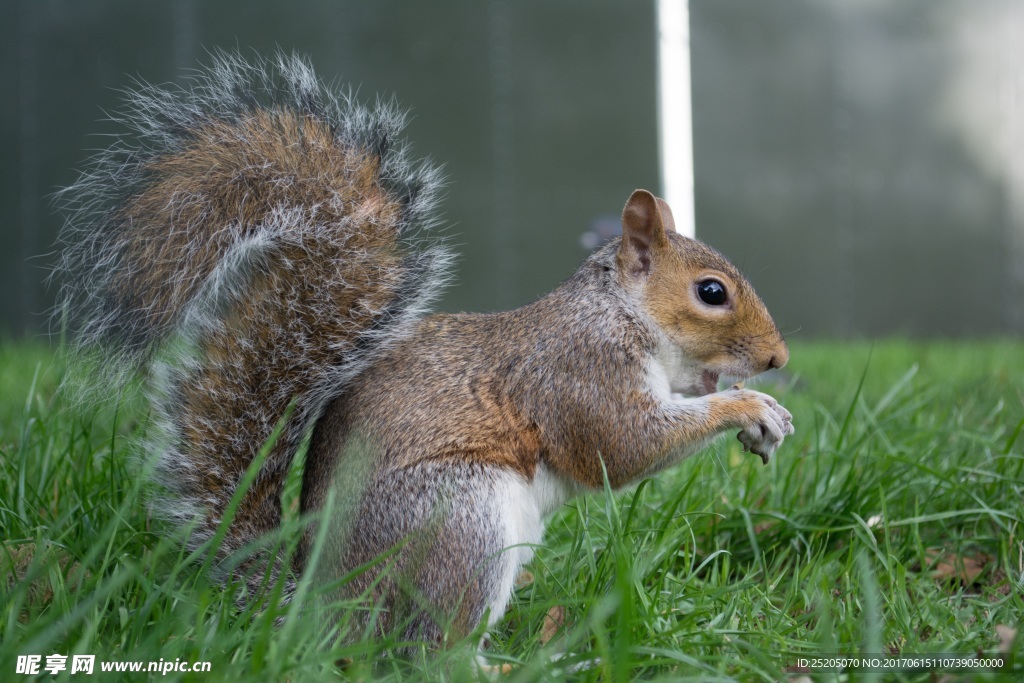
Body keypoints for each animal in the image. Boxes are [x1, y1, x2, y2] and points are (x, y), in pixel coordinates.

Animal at [56, 53, 794, 647]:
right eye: (711, 291)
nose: (778, 359)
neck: (621, 315)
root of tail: (325, 608)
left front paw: (753, 408)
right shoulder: (579, 372)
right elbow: (625, 446)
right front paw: (749, 405)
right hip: (458, 521)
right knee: (428, 646)